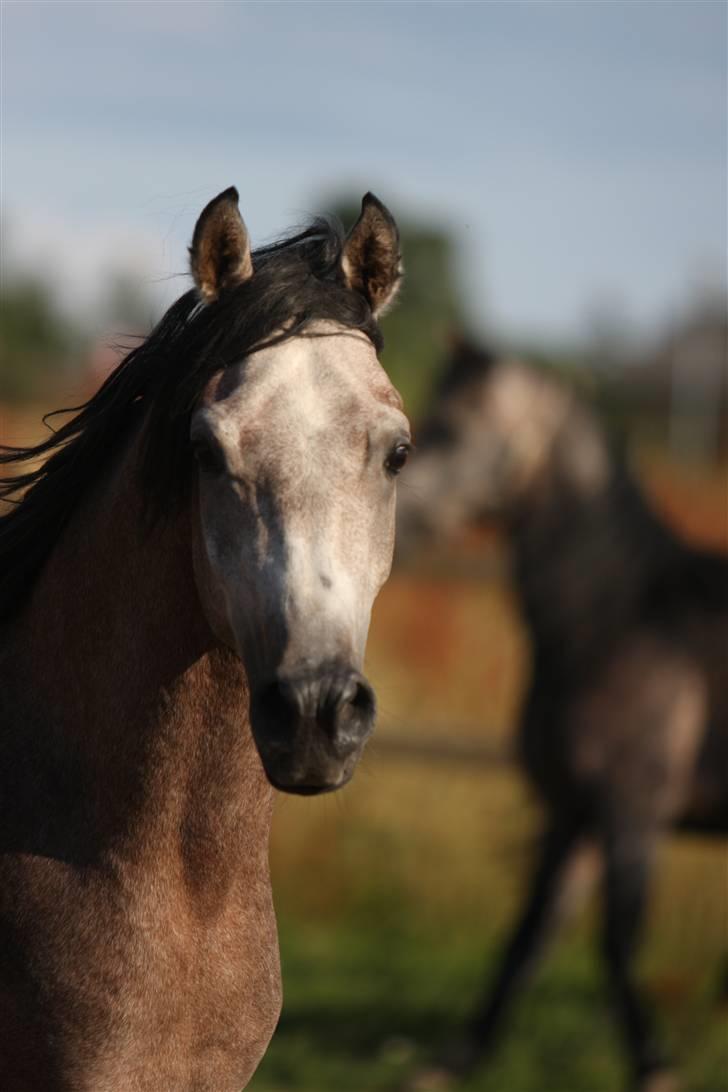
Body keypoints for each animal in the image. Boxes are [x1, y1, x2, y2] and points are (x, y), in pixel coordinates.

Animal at [399, 338, 728, 1092]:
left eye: (451, 428)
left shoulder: (631, 811)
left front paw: (654, 1066)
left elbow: (617, 940)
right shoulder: (571, 812)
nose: (391, 525)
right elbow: (529, 935)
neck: (617, 619)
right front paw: (454, 1061)